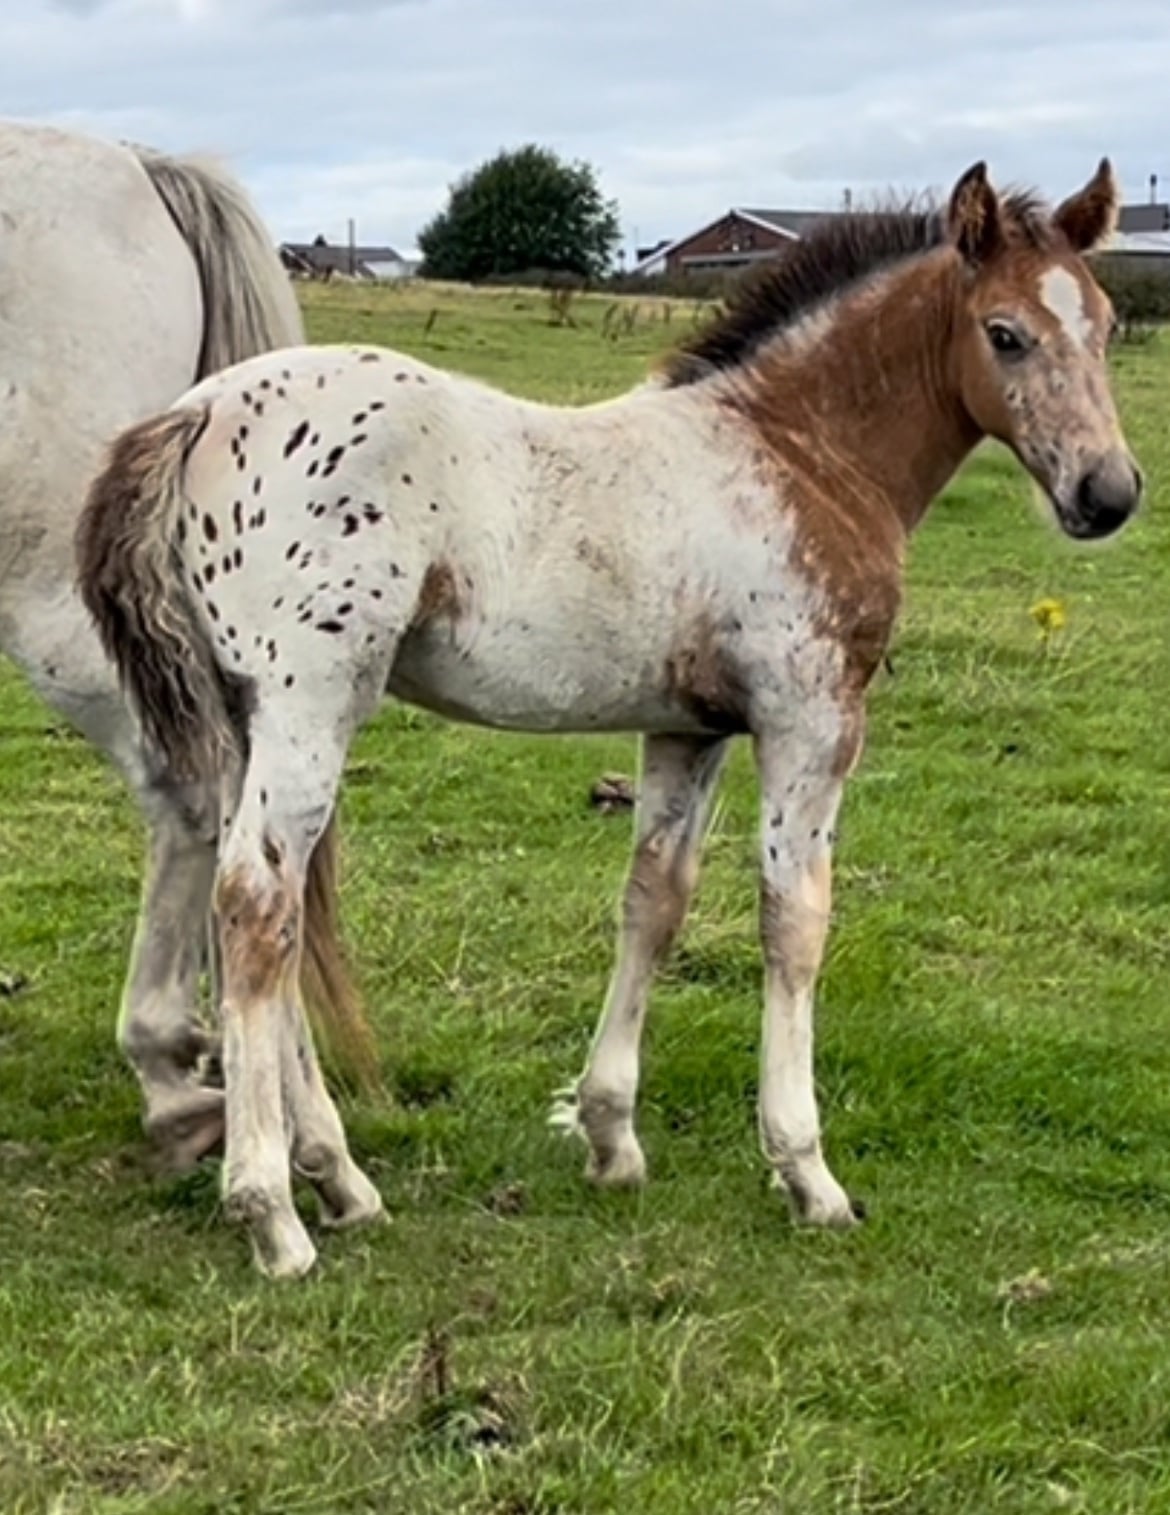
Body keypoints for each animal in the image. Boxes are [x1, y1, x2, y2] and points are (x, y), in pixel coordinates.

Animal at [78, 159, 1141, 1278]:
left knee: (252, 906)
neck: (802, 452)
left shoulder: (690, 727)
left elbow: (654, 902)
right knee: (256, 905)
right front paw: (808, 1172)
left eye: (1108, 324)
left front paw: (611, 1137)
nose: (1107, 494)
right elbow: (794, 920)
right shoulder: (810, 716)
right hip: (309, 703)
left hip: (241, 715)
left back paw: (340, 1179)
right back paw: (272, 1212)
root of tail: (194, 414)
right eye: (1005, 333)